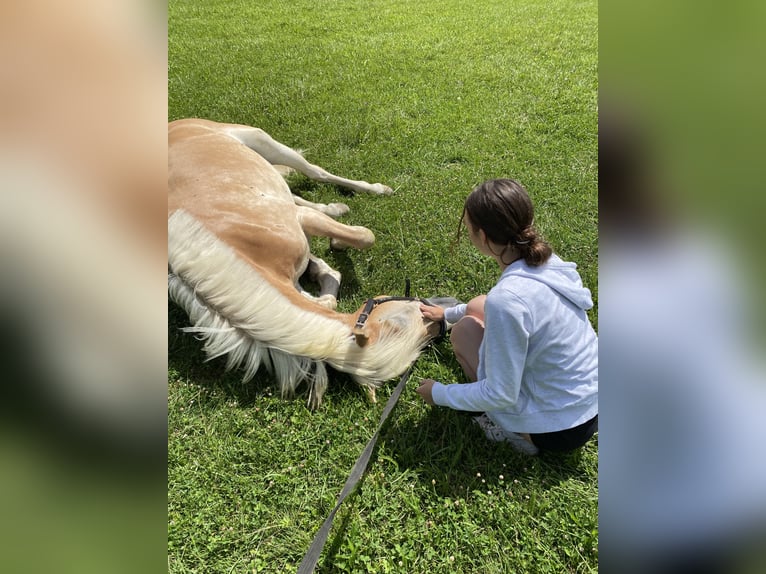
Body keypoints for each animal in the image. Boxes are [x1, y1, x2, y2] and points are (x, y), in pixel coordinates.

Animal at [170, 119, 444, 412]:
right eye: (398, 324)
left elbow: (361, 238)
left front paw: (331, 250)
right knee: (303, 182)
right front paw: (326, 261)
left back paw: (367, 193)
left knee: (314, 174)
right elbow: (355, 249)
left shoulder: (301, 221)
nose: (441, 319)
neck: (237, 253)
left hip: (262, 142)